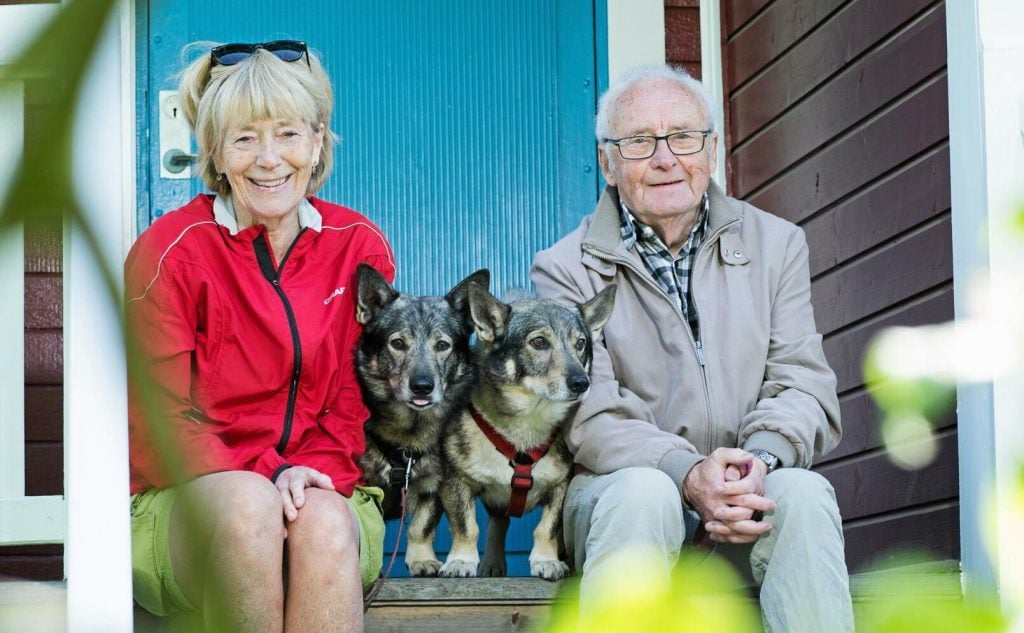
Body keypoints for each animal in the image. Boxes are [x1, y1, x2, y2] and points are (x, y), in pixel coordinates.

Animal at [354, 264, 489, 573]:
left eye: (442, 345)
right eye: (398, 343)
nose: (422, 386)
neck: (409, 431)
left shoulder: (436, 484)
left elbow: (421, 526)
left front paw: (421, 559)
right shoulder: (365, 485)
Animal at [438, 282, 614, 577]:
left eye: (581, 344)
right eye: (539, 342)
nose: (581, 383)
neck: (527, 423)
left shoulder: (561, 486)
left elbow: (547, 528)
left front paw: (546, 560)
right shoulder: (456, 481)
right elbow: (466, 526)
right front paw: (461, 559)